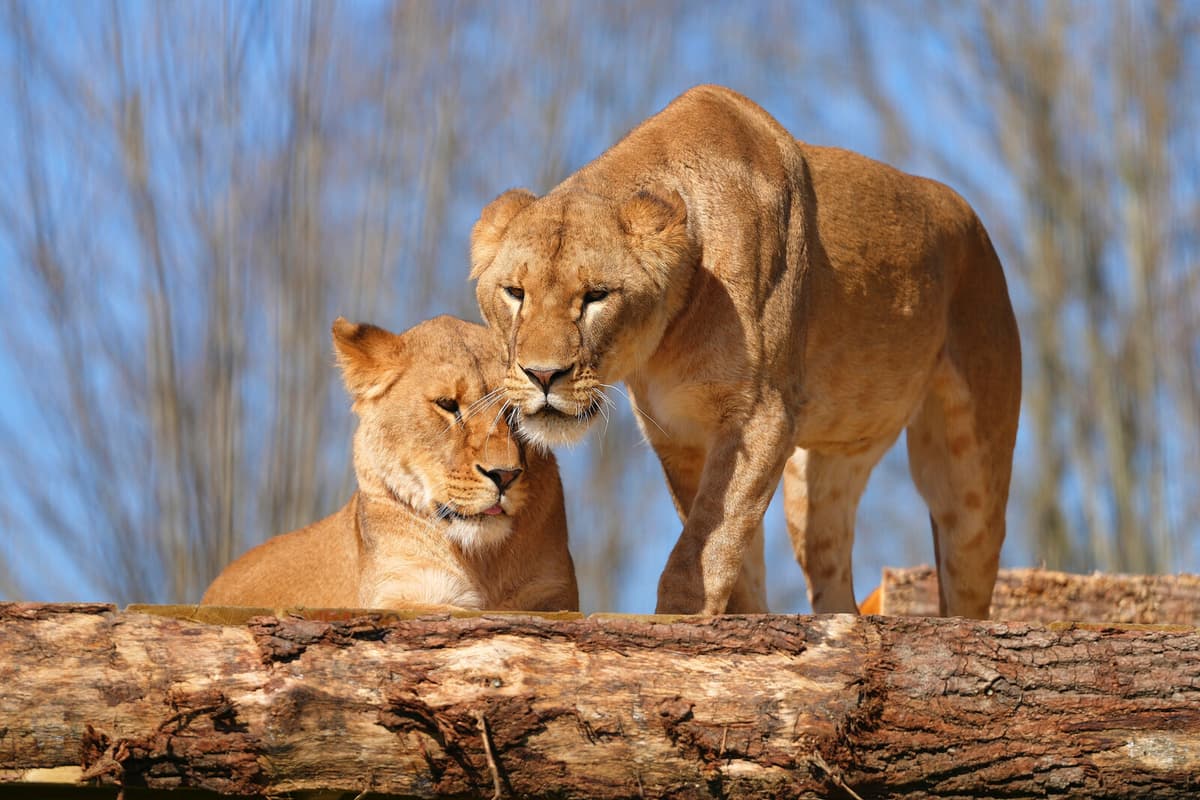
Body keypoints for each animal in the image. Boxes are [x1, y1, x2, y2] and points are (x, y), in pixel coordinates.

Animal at [201, 316, 579, 613]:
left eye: (515, 411)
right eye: (447, 404)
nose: (504, 475)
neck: (483, 561)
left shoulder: (553, 595)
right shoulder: (398, 594)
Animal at [470, 85, 1020, 618]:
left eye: (596, 296)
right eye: (515, 293)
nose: (543, 375)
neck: (669, 334)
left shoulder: (760, 416)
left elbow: (705, 547)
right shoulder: (679, 437)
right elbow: (732, 556)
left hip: (970, 475)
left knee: (970, 591)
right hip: (820, 477)